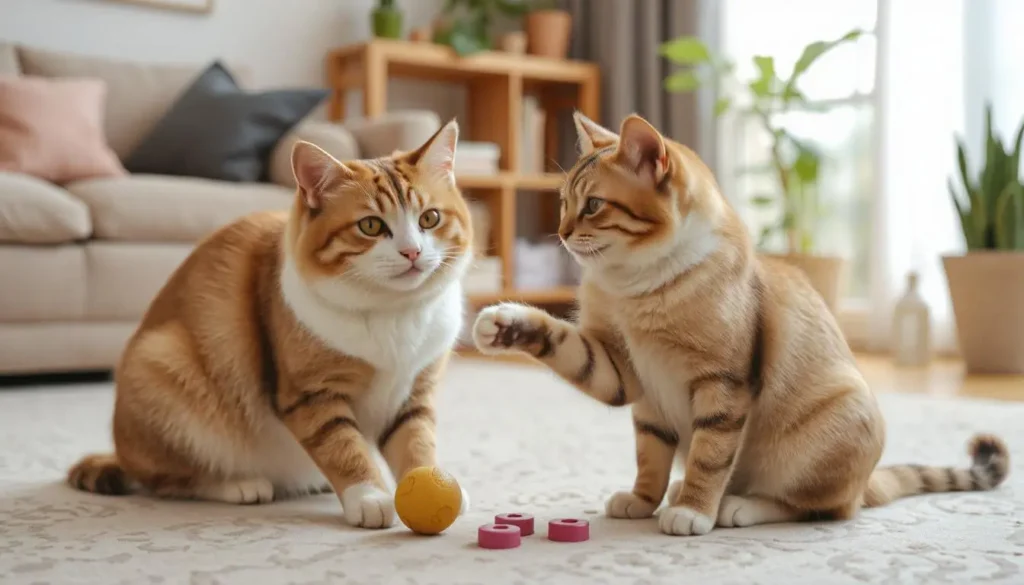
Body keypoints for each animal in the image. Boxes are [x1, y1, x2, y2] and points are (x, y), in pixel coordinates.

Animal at [68, 118, 475, 532]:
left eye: (429, 219)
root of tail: (121, 452)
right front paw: (370, 496)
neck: (395, 314)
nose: (412, 252)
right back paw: (239, 485)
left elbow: (416, 443)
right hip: (161, 365)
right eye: (371, 226)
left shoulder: (415, 393)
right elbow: (342, 445)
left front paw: (432, 484)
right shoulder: (312, 394)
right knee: (167, 480)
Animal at [468, 112, 1007, 536]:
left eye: (594, 206)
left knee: (822, 508)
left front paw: (693, 512)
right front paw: (642, 502)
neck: (634, 291)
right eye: (562, 202)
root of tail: (867, 481)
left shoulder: (722, 385)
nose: (559, 233)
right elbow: (647, 454)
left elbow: (710, 456)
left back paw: (737, 506)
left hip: (832, 428)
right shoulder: (624, 374)